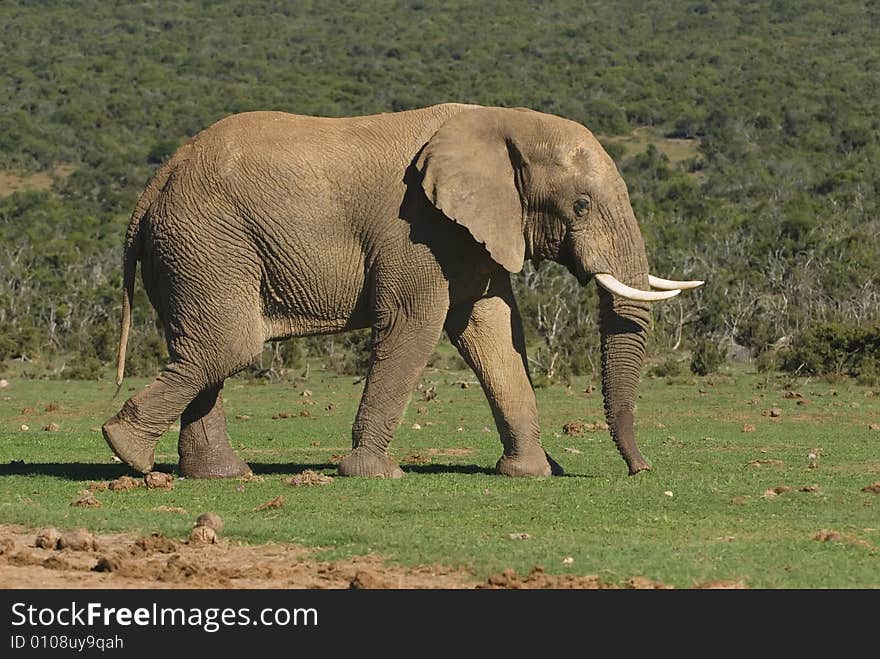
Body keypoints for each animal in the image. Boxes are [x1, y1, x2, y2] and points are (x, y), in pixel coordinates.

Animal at [103, 105, 704, 482]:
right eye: (580, 206)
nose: (641, 470)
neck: (503, 121)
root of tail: (155, 184)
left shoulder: (470, 235)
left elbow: (493, 330)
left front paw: (533, 473)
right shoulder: (417, 228)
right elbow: (415, 322)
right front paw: (375, 474)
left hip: (191, 250)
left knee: (205, 348)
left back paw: (219, 475)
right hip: (206, 240)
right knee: (228, 346)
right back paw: (128, 454)